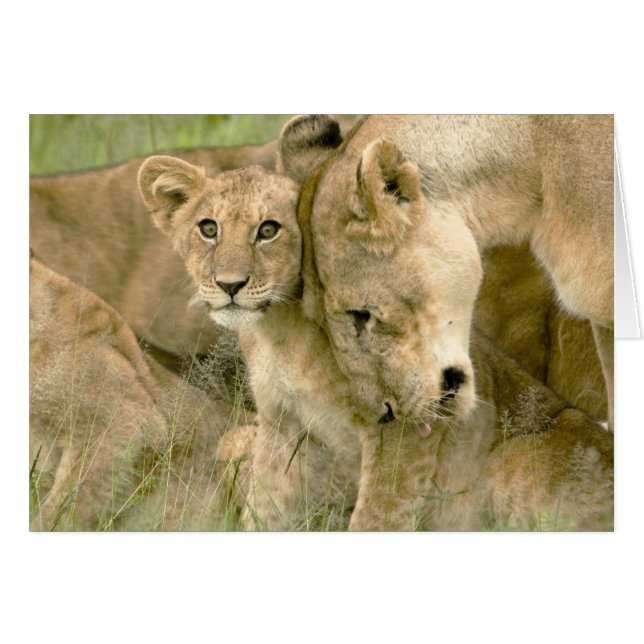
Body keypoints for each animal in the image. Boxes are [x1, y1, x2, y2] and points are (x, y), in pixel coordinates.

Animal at [139, 154, 612, 531]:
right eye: (208, 228)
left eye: (269, 230)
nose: (229, 285)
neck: (281, 332)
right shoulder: (281, 423)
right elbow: (267, 507)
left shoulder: (405, 422)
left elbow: (376, 516)